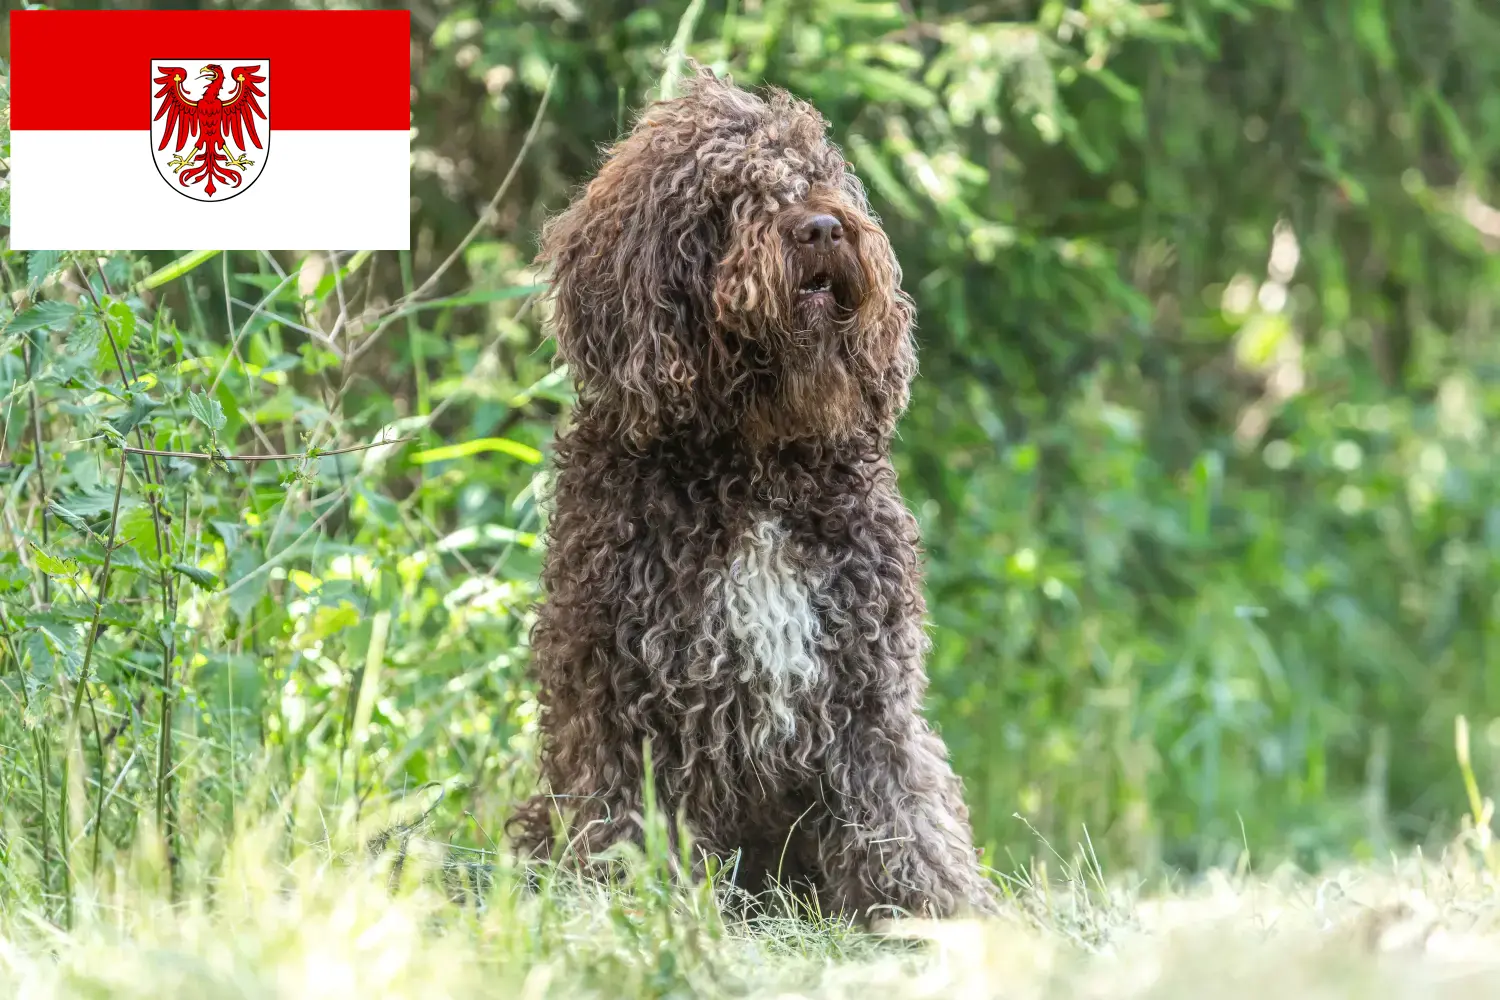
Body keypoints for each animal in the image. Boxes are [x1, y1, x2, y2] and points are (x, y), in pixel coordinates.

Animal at [510, 62, 1002, 923]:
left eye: (818, 176)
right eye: (730, 194)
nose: (824, 230)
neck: (757, 468)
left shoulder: (868, 694)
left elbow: (904, 815)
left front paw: (940, 914)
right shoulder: (625, 705)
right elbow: (630, 823)